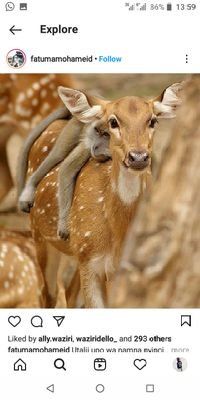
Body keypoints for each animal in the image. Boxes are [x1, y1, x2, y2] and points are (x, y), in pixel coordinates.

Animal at [27, 84, 183, 308]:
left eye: (152, 120)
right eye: (113, 121)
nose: (138, 157)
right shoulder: (90, 261)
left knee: (69, 296)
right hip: (40, 236)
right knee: (47, 294)